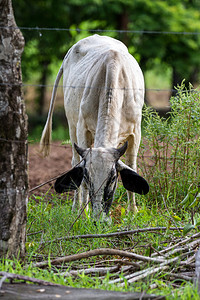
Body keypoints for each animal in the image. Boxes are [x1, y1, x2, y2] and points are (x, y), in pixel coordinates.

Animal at [40, 35, 148, 219]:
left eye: (113, 178)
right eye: (87, 177)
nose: (99, 219)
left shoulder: (136, 132)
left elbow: (132, 165)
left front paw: (133, 212)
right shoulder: (82, 129)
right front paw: (83, 214)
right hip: (72, 124)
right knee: (74, 160)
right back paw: (76, 206)